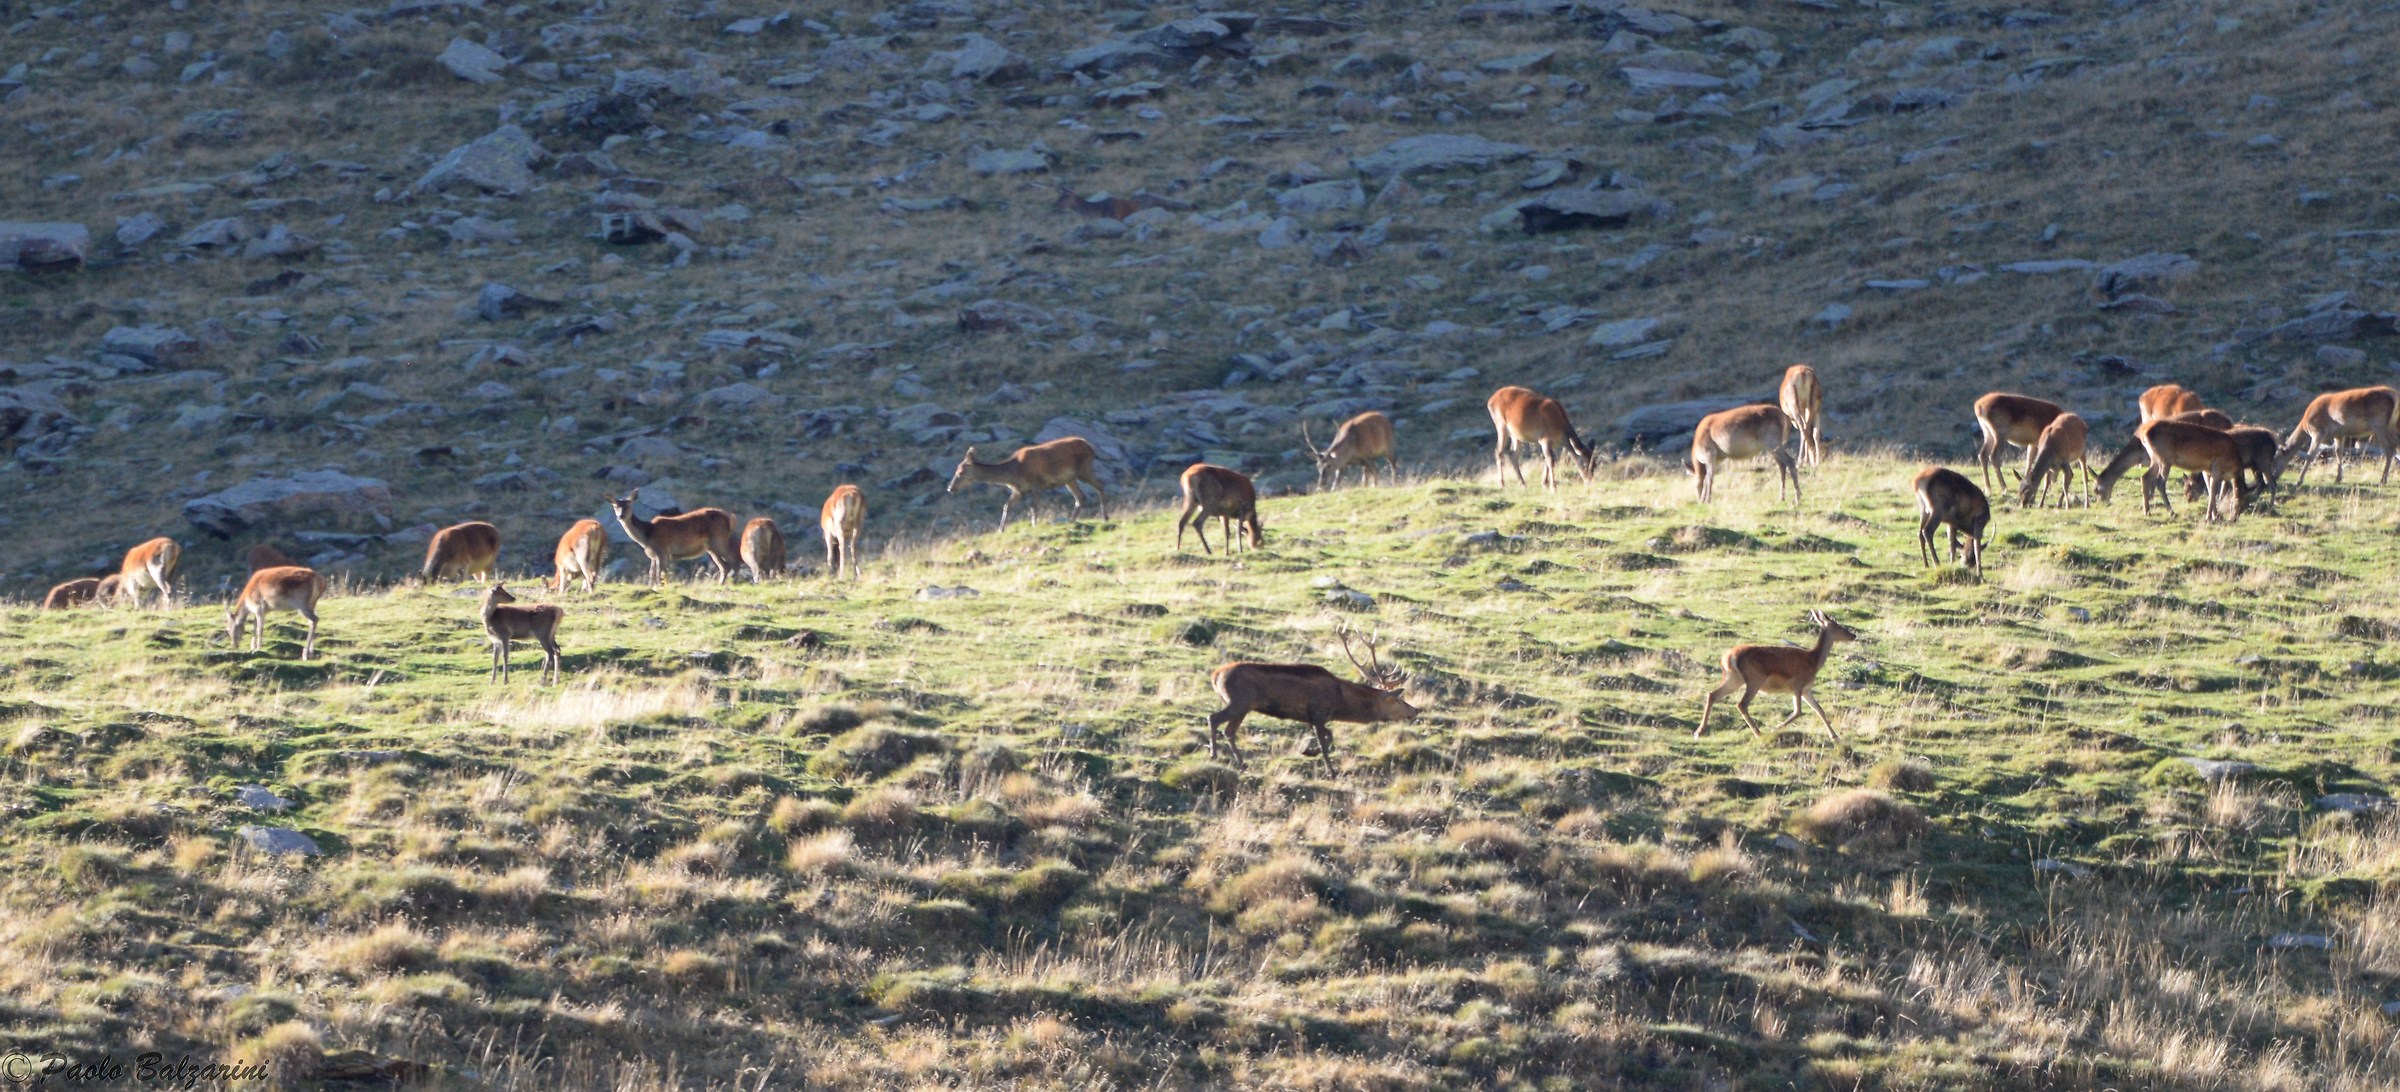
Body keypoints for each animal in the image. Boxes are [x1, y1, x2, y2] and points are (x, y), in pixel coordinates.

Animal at [607, 489, 738, 584]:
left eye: (629, 505)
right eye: (614, 506)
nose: (620, 516)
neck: (646, 535)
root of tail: (730, 518)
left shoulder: (662, 550)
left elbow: (660, 574)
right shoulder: (654, 556)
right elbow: (651, 574)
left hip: (719, 539)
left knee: (734, 561)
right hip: (711, 547)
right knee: (725, 566)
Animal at [946, 437, 1107, 532]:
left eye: (960, 472)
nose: (950, 488)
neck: (1014, 473)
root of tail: (1091, 447)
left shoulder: (1036, 484)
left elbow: (1033, 507)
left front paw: (1034, 525)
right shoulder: (1019, 490)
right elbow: (1006, 506)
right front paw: (1000, 530)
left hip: (1084, 468)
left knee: (1100, 485)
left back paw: (1105, 517)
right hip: (1070, 478)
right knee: (1081, 497)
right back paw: (1071, 520)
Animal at [1206, 627, 1420, 776]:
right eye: (1399, 701)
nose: (1416, 710)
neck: (1340, 701)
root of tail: (1215, 675)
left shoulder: (1311, 718)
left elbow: (1326, 737)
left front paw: (1308, 751)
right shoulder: (1318, 712)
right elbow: (1326, 740)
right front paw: (1330, 770)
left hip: (1243, 707)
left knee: (1229, 730)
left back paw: (1242, 763)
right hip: (1239, 701)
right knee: (1213, 718)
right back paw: (1214, 755)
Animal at [1697, 611, 1859, 743]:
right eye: (1839, 626)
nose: (1853, 635)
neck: (1814, 661)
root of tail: (1728, 657)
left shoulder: (1806, 689)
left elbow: (1819, 710)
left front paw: (1835, 736)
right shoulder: (1797, 684)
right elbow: (1798, 712)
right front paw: (1776, 728)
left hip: (1734, 678)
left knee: (1712, 694)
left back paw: (1700, 731)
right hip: (1755, 678)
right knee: (1741, 704)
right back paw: (1758, 733)